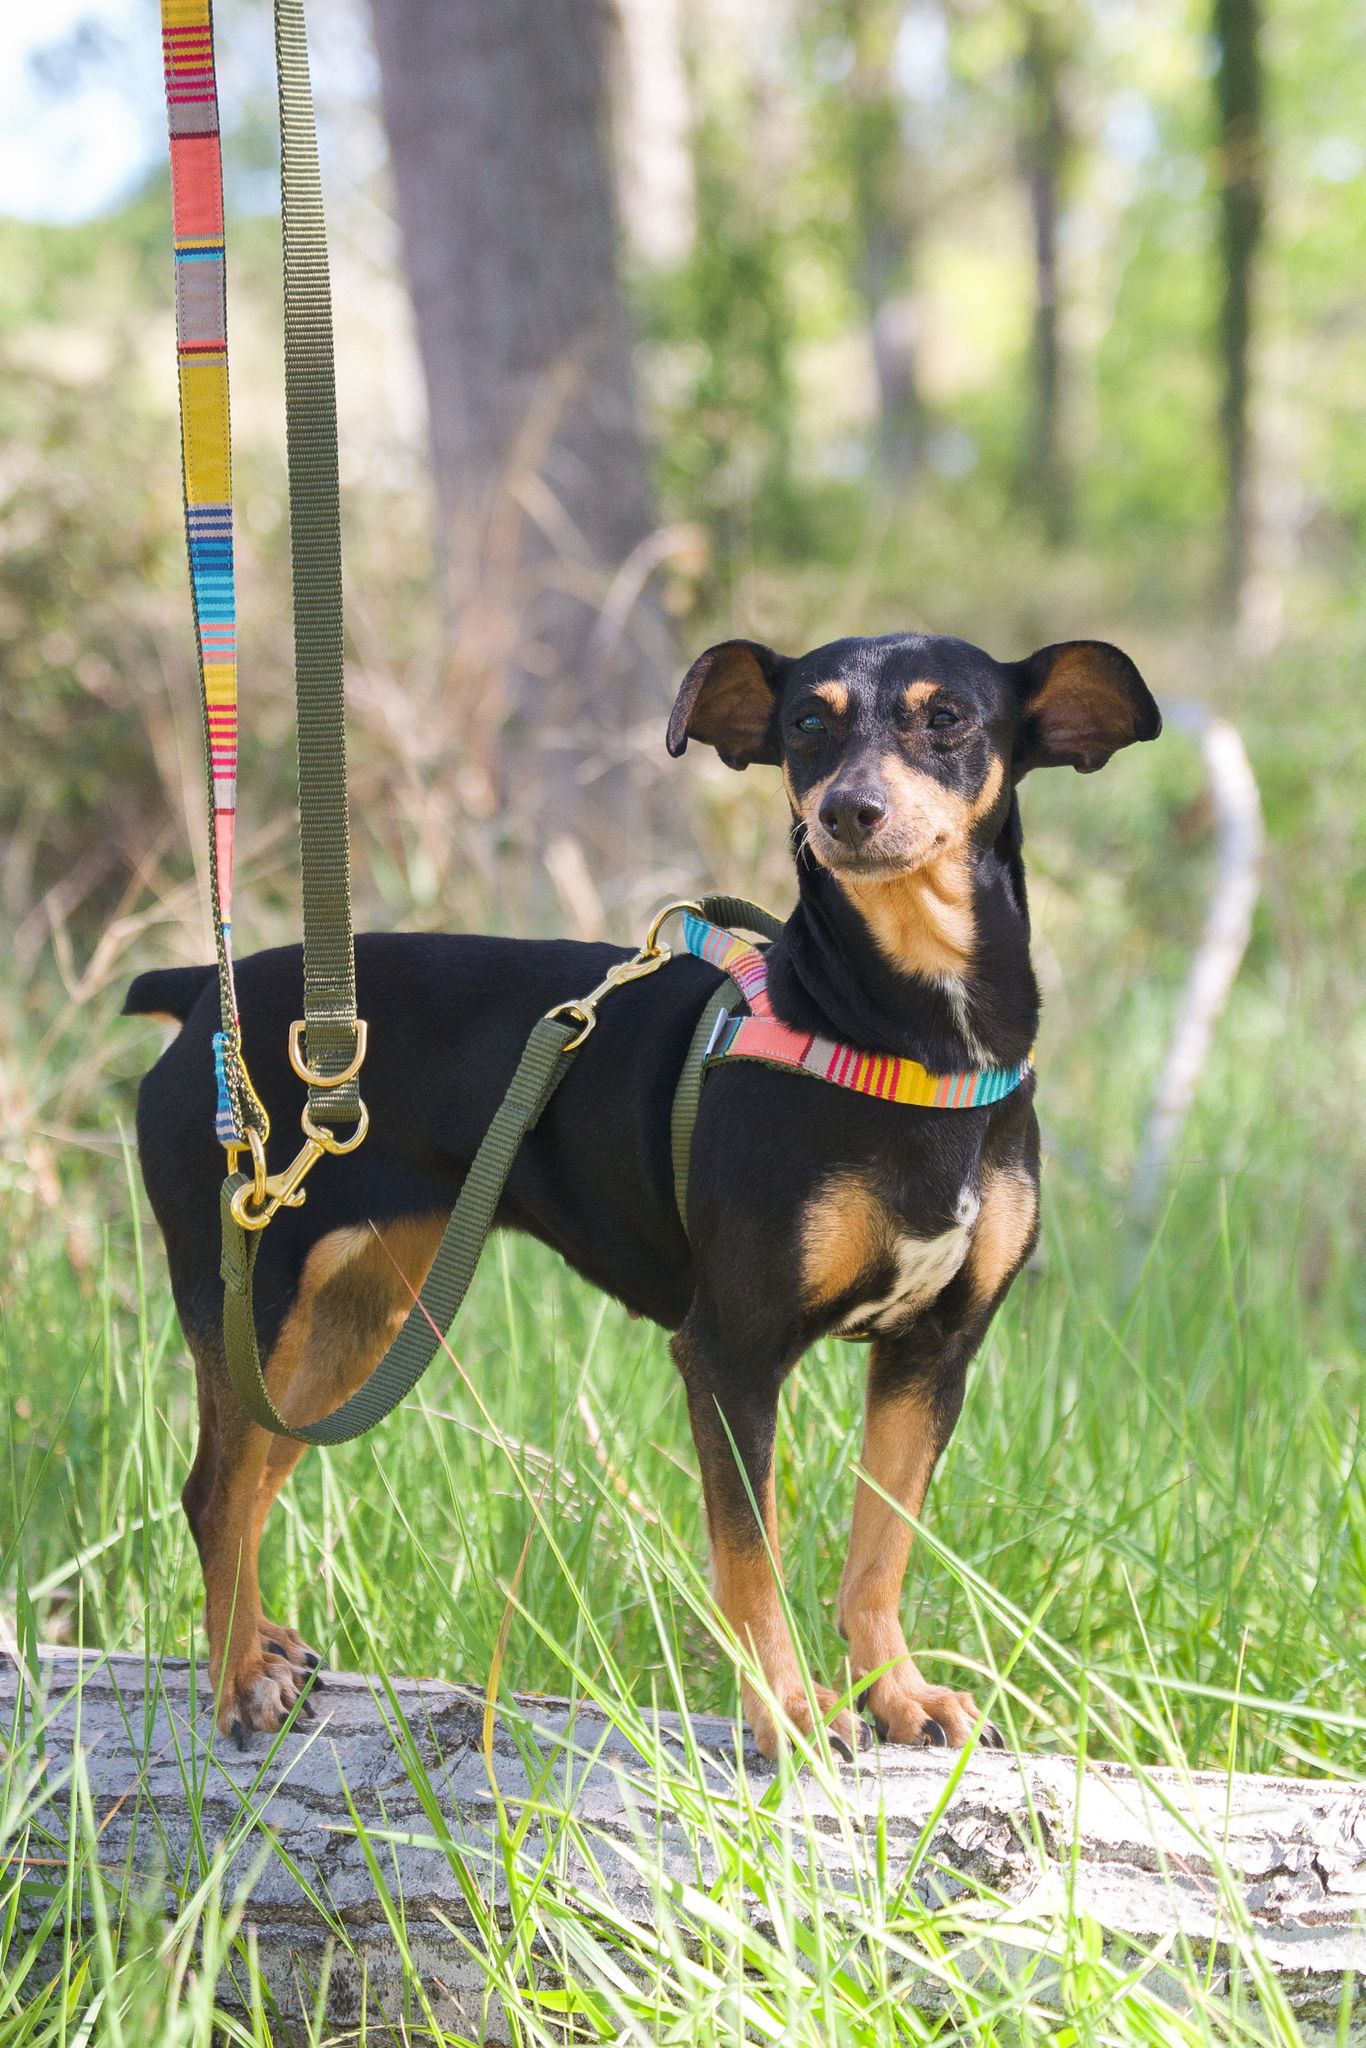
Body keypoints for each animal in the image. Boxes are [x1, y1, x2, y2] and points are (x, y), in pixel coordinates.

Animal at [127, 626, 1163, 1761]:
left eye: (949, 720)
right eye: (808, 721)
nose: (848, 811)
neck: (909, 1031)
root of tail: (198, 995)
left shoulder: (932, 1351)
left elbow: (879, 1552)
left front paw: (897, 1693)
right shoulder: (731, 1349)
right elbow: (751, 1556)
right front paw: (789, 1711)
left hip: (355, 1317)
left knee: (262, 1470)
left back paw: (263, 1642)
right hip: (251, 1290)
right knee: (216, 1492)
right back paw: (237, 1675)